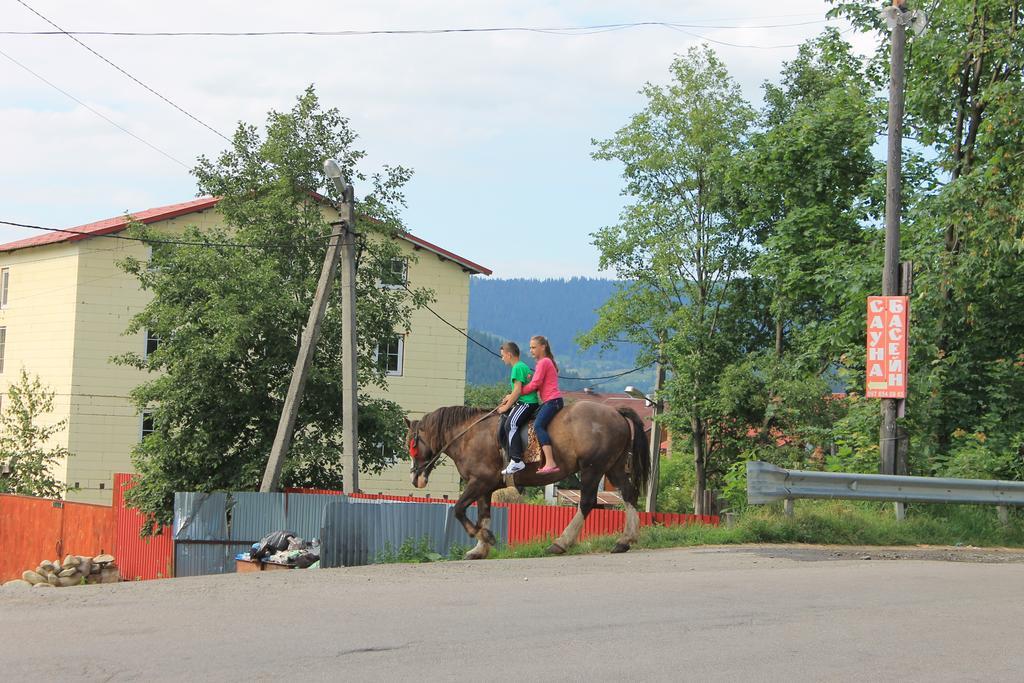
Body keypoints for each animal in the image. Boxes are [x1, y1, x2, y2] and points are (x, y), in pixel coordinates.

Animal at [405, 403, 647, 557]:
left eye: (412, 445)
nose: (415, 477)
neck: (469, 436)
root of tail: (615, 411)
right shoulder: (485, 488)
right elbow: (484, 514)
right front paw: (480, 548)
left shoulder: (479, 482)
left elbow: (458, 510)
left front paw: (483, 536)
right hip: (614, 467)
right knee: (629, 493)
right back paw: (625, 540)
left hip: (592, 468)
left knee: (587, 502)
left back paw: (560, 543)